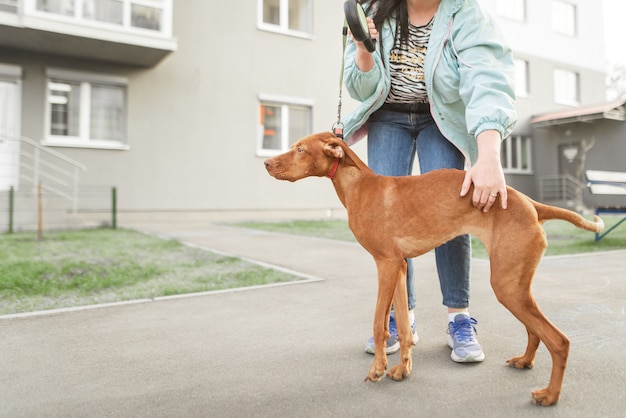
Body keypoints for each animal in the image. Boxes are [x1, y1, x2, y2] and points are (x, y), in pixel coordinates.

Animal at [262, 133, 600, 404]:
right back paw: (526, 361)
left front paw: (378, 369)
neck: (360, 186)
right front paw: (402, 368)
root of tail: (530, 203)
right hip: (515, 284)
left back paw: (550, 395)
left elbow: (379, 324)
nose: (266, 163)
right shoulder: (398, 267)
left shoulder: (385, 264)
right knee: (535, 329)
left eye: (300, 149)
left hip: (507, 285)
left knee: (559, 340)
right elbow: (401, 326)